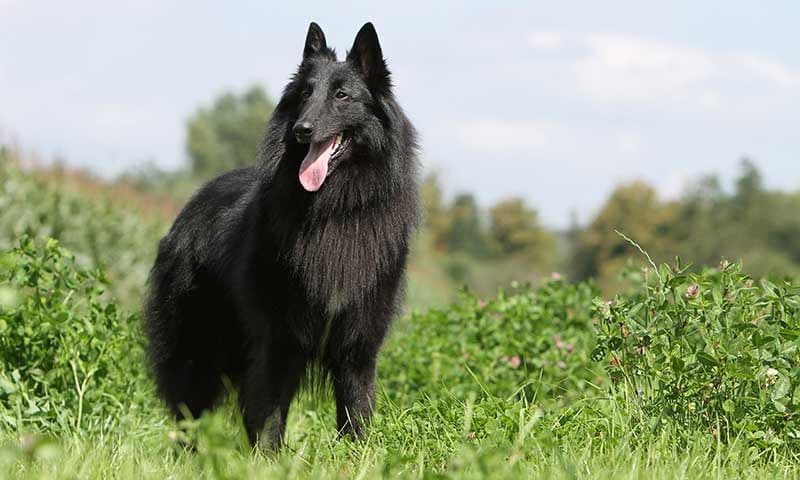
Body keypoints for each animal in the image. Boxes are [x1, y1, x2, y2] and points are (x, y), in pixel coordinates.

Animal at [145, 21, 418, 450]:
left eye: (342, 95)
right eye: (305, 94)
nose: (301, 129)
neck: (332, 212)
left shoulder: (359, 346)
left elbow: (355, 413)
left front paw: (355, 457)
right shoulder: (278, 341)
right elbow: (270, 417)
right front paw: (268, 459)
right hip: (196, 351)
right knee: (188, 413)